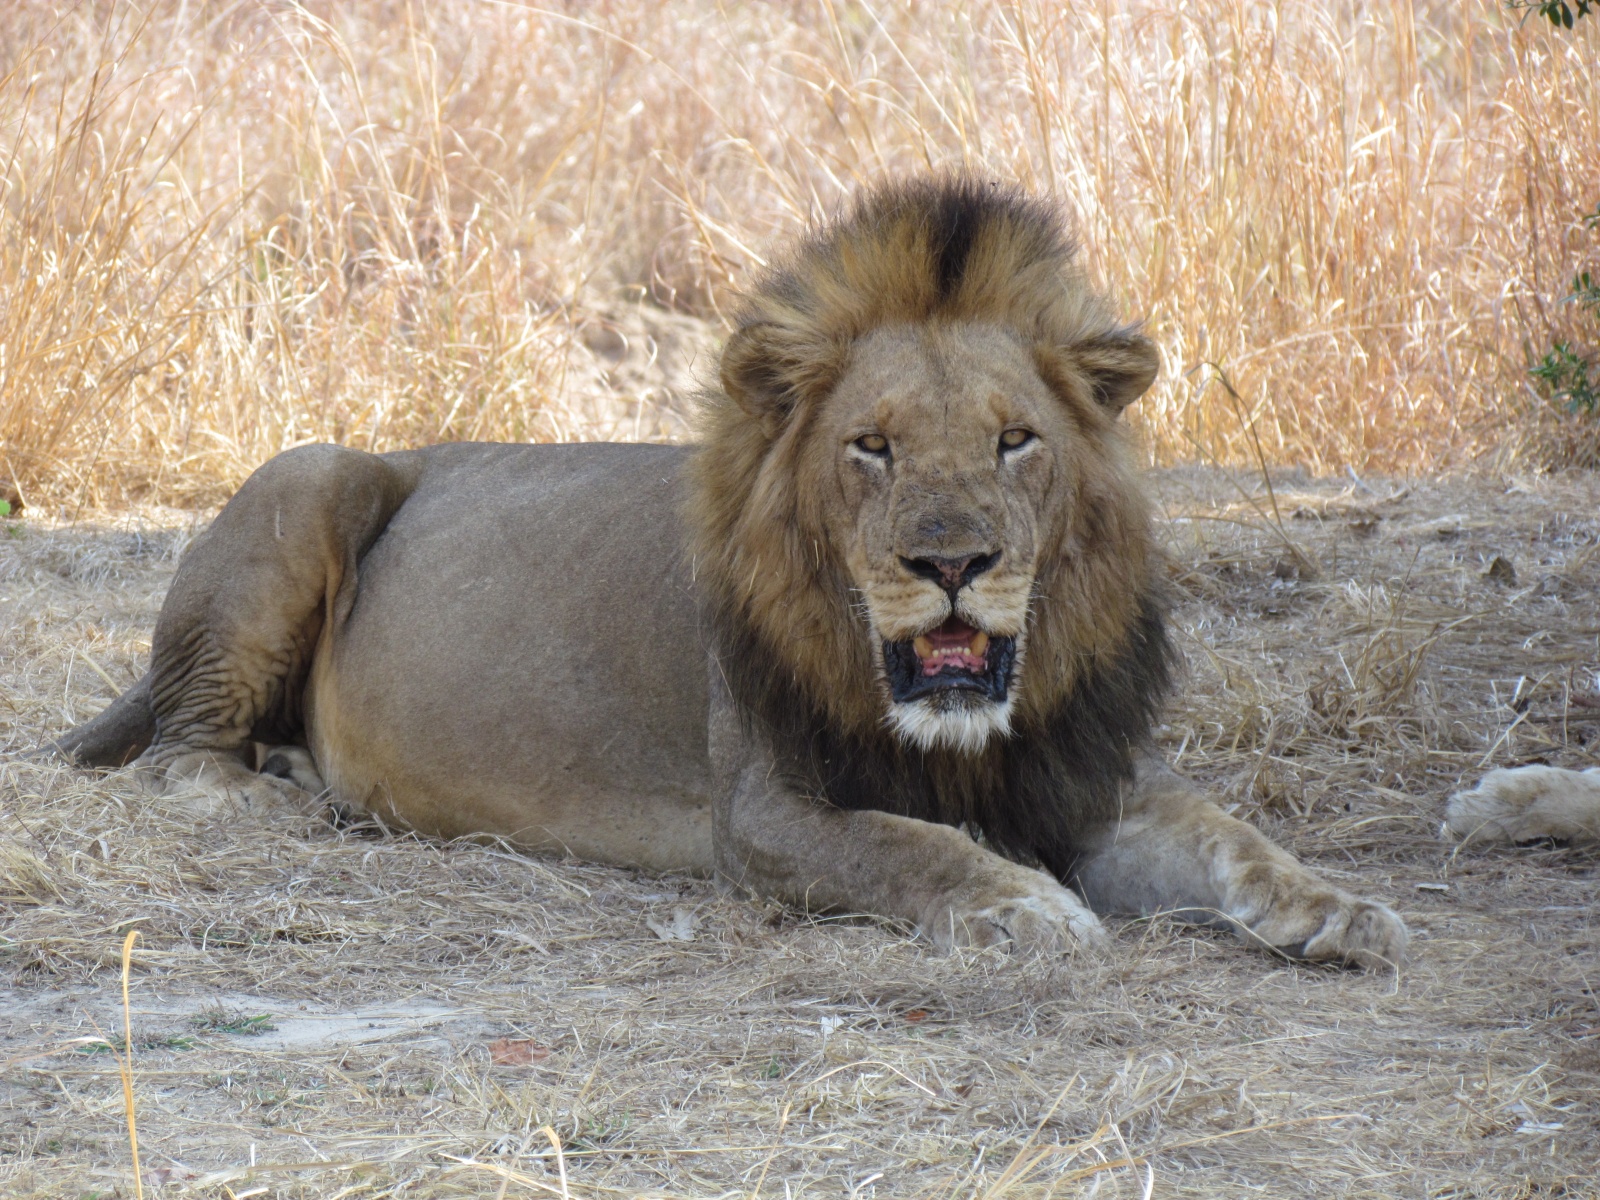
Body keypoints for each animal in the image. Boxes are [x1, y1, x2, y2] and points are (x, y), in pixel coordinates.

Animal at [55, 177, 1407, 967]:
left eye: (1015, 440)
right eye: (872, 446)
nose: (952, 561)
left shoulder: (1082, 771)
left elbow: (1230, 835)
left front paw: (1340, 908)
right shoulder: (761, 814)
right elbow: (906, 847)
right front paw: (1021, 903)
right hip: (313, 473)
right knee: (178, 751)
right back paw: (276, 789)